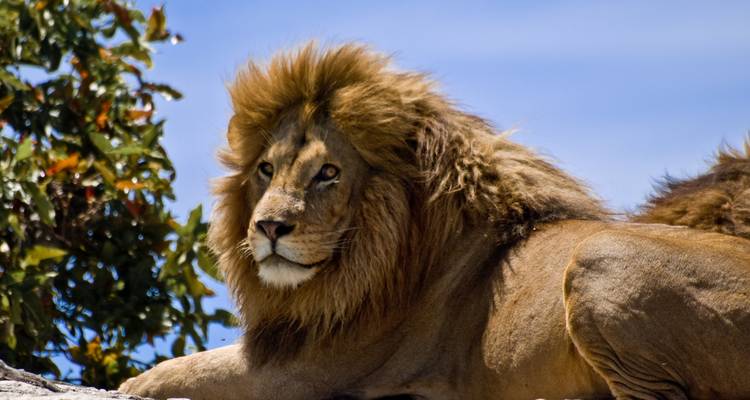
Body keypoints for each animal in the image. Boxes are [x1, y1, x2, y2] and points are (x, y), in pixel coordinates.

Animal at [119, 43, 750, 400]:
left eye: (328, 172)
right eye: (266, 170)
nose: (269, 227)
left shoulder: (308, 374)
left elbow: (181, 373)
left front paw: (135, 381)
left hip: (598, 259)